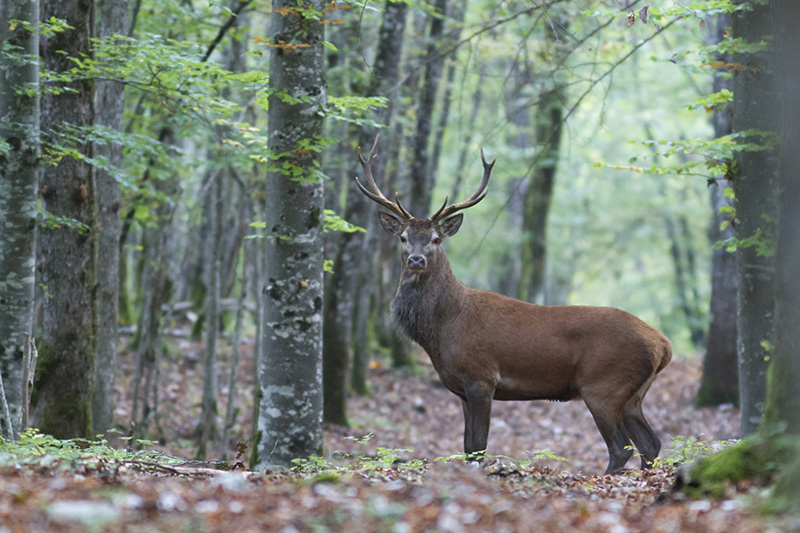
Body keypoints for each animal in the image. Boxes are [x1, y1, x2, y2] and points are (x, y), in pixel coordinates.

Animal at [354, 136, 672, 474]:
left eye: (436, 239)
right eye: (403, 237)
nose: (416, 260)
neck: (443, 327)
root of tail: (663, 345)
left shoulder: (481, 378)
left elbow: (478, 446)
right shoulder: (462, 389)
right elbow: (467, 447)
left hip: (604, 386)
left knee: (621, 447)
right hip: (632, 395)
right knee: (650, 443)